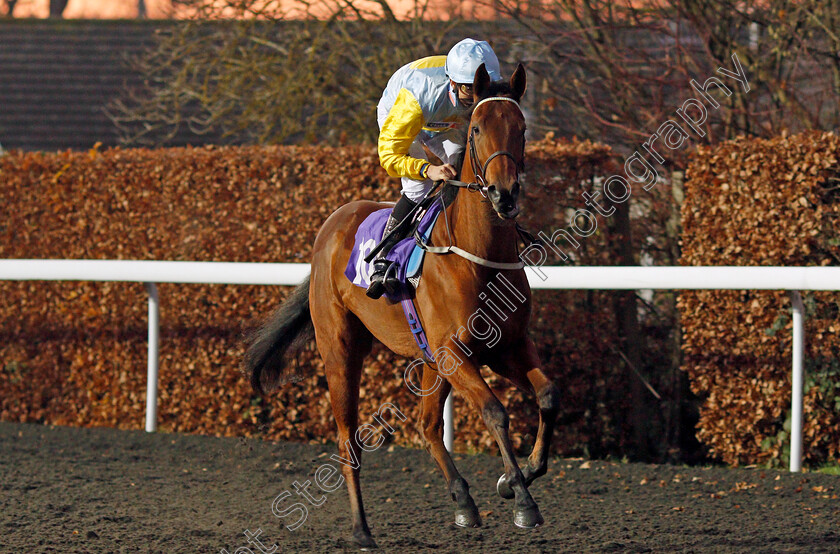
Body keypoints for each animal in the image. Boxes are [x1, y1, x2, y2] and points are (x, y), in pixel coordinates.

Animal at [246, 62, 560, 544]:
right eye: (476, 128)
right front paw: (523, 499)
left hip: (430, 361)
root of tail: (329, 229)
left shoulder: (505, 346)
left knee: (428, 426)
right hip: (340, 350)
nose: (504, 194)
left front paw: (517, 477)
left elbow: (547, 395)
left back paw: (463, 502)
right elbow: (494, 411)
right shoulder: (456, 352)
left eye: (522, 128)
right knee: (348, 438)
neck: (477, 254)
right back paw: (361, 530)